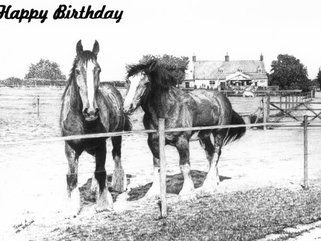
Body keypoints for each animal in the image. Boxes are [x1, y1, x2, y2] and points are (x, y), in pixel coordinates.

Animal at [60, 40, 130, 214]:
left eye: (98, 69)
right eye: (77, 71)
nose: (91, 111)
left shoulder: (100, 145)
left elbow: (101, 172)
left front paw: (103, 204)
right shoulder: (70, 148)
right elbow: (72, 177)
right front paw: (71, 208)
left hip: (116, 136)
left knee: (116, 156)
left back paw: (118, 184)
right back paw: (94, 188)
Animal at [123, 59, 245, 199]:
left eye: (146, 83)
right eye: (128, 81)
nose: (127, 107)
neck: (166, 110)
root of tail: (222, 98)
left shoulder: (182, 141)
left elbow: (184, 166)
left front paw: (187, 191)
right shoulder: (153, 142)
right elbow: (157, 166)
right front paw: (153, 191)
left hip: (219, 133)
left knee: (216, 154)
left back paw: (208, 184)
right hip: (204, 135)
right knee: (210, 154)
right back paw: (214, 181)